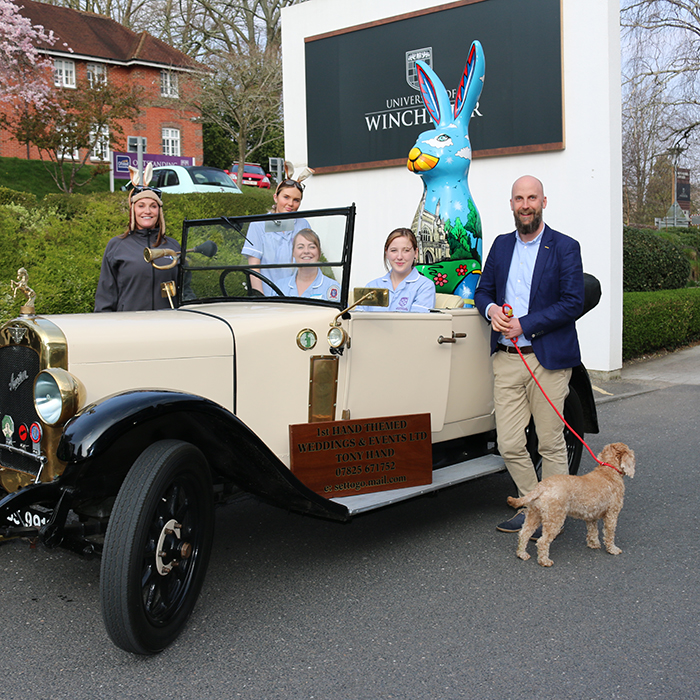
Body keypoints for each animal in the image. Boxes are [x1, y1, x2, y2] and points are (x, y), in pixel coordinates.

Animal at [506, 446, 636, 568]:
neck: (608, 470)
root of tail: (542, 486)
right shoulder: (612, 514)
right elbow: (609, 533)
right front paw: (612, 549)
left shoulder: (591, 516)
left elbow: (593, 531)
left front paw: (593, 544)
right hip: (555, 518)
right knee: (542, 541)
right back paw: (544, 561)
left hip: (534, 514)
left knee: (524, 533)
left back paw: (522, 554)